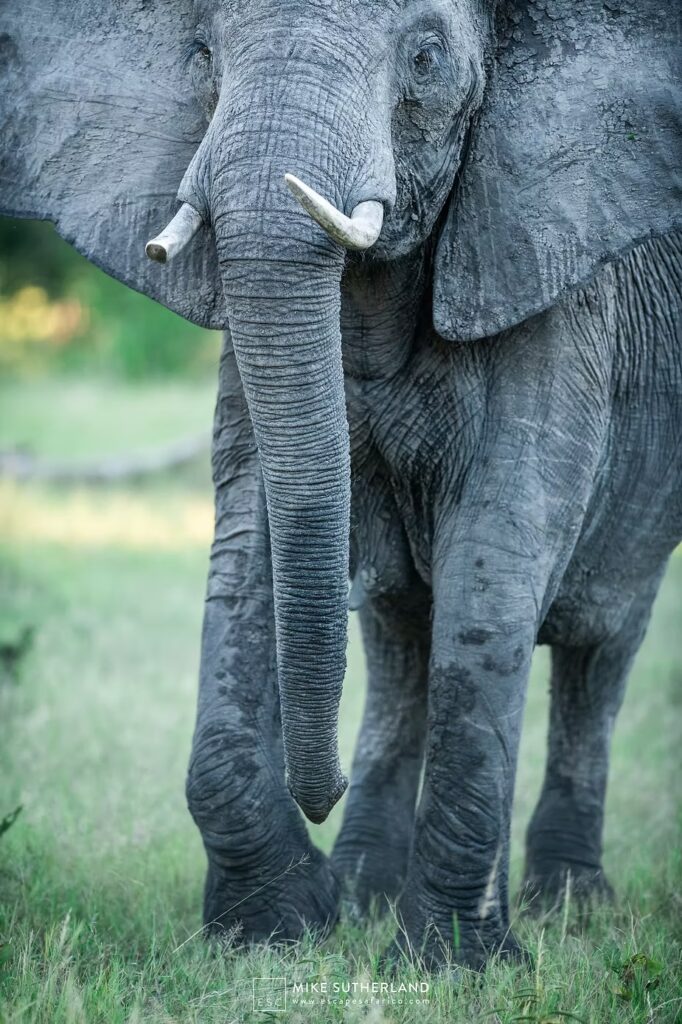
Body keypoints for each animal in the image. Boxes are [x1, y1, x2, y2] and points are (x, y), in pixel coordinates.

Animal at [1, 0, 680, 970]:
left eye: (426, 59)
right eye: (203, 56)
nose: (321, 791)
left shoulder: (556, 291)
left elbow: (494, 563)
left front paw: (452, 968)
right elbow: (253, 546)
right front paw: (279, 928)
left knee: (598, 648)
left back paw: (568, 912)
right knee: (399, 645)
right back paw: (365, 894)